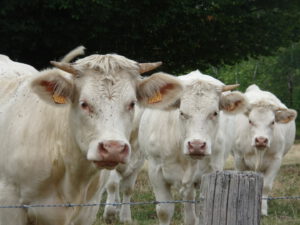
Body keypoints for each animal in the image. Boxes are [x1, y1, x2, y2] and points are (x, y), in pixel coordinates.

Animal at [139, 70, 247, 225]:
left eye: (215, 113)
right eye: (182, 112)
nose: (196, 145)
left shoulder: (210, 173)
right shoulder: (155, 171)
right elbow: (164, 211)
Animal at [231, 84, 296, 214]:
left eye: (273, 122)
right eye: (250, 121)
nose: (261, 140)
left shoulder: (276, 160)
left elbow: (266, 186)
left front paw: (263, 210)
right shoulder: (239, 158)